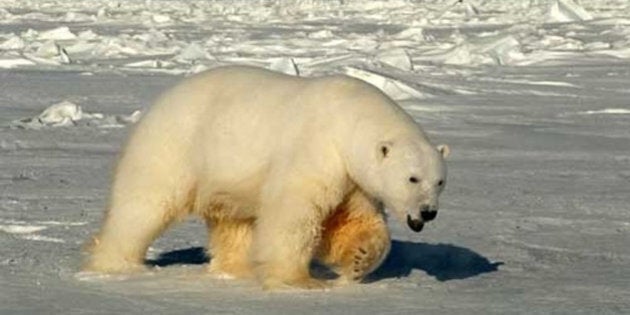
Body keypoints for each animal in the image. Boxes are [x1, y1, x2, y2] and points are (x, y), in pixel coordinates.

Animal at [85, 65, 450, 290]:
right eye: (412, 178)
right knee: (144, 205)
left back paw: (237, 269)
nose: (428, 212)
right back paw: (117, 265)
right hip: (175, 146)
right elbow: (294, 212)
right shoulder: (316, 149)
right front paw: (298, 281)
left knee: (233, 222)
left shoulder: (353, 178)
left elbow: (351, 220)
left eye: (440, 181)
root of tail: (161, 101)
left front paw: (359, 261)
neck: (350, 120)